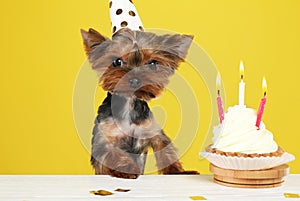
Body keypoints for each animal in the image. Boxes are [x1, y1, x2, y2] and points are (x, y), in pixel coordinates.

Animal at [81, 27, 198, 179]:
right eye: (117, 62)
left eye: (153, 63)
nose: (135, 80)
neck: (129, 104)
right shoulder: (103, 142)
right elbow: (115, 154)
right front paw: (128, 169)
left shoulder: (152, 132)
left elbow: (167, 152)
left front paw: (178, 172)